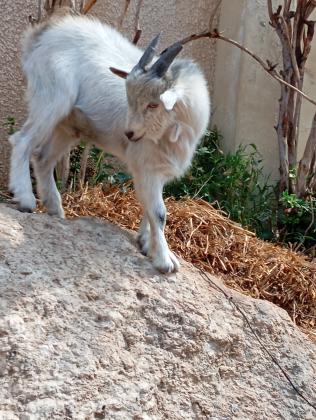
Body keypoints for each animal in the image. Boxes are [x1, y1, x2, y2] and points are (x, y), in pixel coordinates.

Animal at [9, 13, 211, 272]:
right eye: (129, 98)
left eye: (153, 104)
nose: (130, 134)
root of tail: (42, 33)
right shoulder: (145, 165)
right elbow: (158, 212)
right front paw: (165, 261)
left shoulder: (158, 169)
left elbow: (149, 207)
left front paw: (146, 243)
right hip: (51, 99)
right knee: (22, 141)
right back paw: (25, 198)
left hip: (68, 125)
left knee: (43, 158)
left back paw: (55, 209)